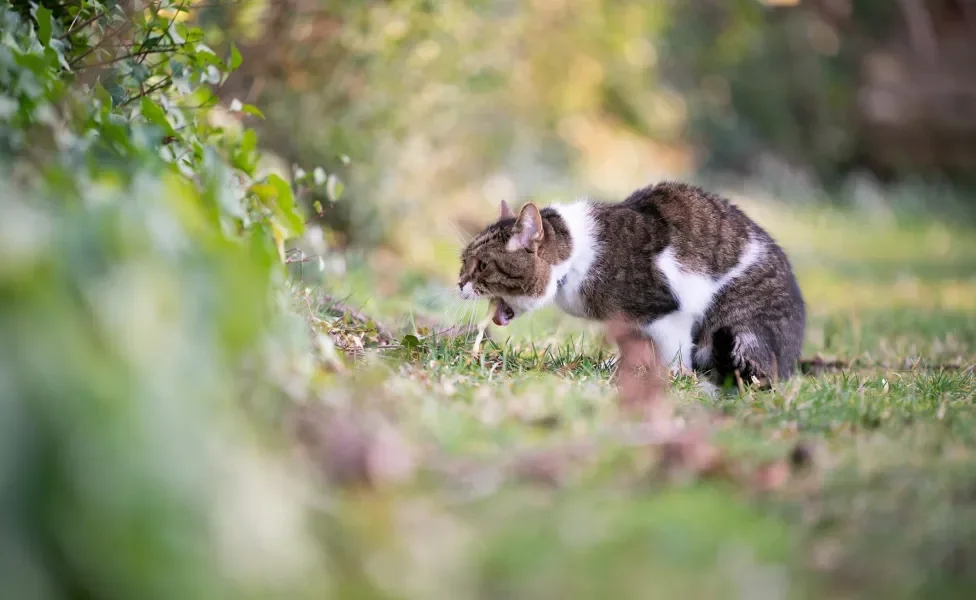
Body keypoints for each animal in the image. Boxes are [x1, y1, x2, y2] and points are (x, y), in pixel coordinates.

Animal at [458, 180, 808, 386]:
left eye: (482, 266)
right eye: (463, 261)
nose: (460, 283)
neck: (576, 257)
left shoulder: (668, 314)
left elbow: (673, 353)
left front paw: (670, 377)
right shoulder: (629, 323)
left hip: (739, 322)